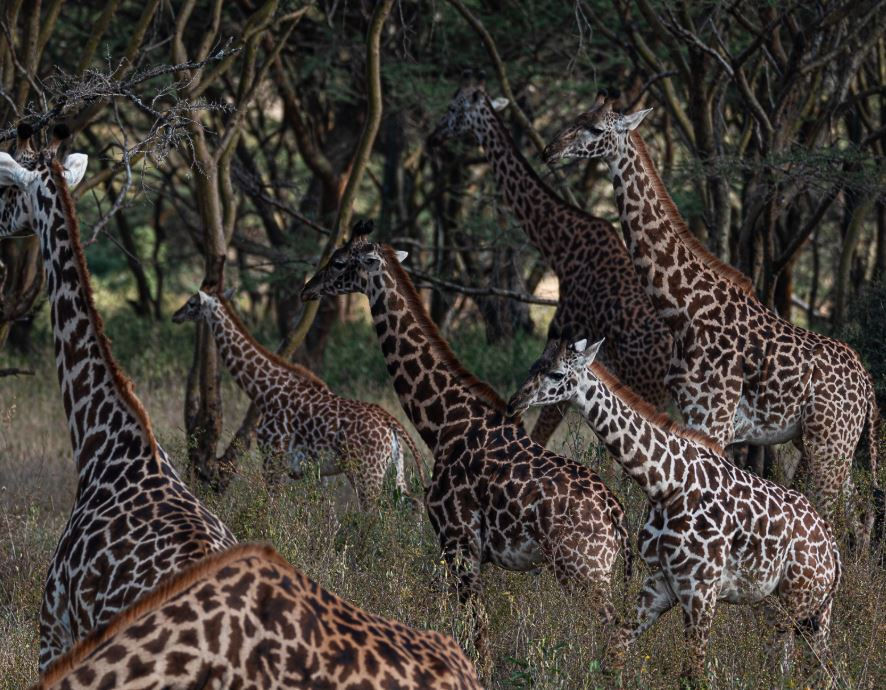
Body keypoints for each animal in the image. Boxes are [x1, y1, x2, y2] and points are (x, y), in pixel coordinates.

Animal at [171, 289, 428, 507]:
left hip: (366, 472)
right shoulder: (317, 472)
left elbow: (272, 508)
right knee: (413, 504)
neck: (264, 391)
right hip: (394, 469)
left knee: (373, 514)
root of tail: (391, 424)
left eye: (193, 303)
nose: (176, 315)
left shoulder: (273, 458)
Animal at [301, 220, 632, 668]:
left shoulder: (458, 543)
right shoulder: (471, 551)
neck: (443, 424)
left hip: (583, 570)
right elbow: (478, 629)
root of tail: (616, 515)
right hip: (597, 572)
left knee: (616, 635)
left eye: (338, 262)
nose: (307, 289)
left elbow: (479, 635)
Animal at [508, 338, 842, 687]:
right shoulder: (661, 582)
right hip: (782, 606)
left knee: (818, 670)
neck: (666, 484)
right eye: (535, 365)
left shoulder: (700, 591)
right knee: (804, 668)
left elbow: (693, 674)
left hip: (801, 604)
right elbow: (615, 649)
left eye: (557, 374)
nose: (516, 402)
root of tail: (832, 547)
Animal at [543, 95, 880, 548]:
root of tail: (867, 385)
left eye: (596, 129)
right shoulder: (694, 415)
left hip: (829, 444)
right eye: (576, 118)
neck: (682, 309)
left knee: (835, 516)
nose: (550, 150)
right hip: (830, 443)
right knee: (857, 521)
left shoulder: (715, 419)